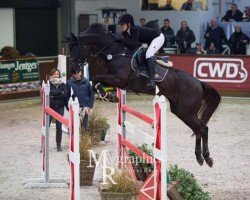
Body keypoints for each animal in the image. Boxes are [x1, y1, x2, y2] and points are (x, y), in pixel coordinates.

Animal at [66, 23, 221, 167]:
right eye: (70, 49)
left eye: (76, 48)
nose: (73, 70)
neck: (115, 52)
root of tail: (199, 83)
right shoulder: (116, 81)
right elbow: (95, 81)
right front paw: (109, 96)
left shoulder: (119, 79)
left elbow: (96, 78)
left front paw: (108, 95)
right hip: (181, 111)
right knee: (198, 129)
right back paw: (199, 157)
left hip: (186, 111)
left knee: (203, 128)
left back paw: (207, 157)